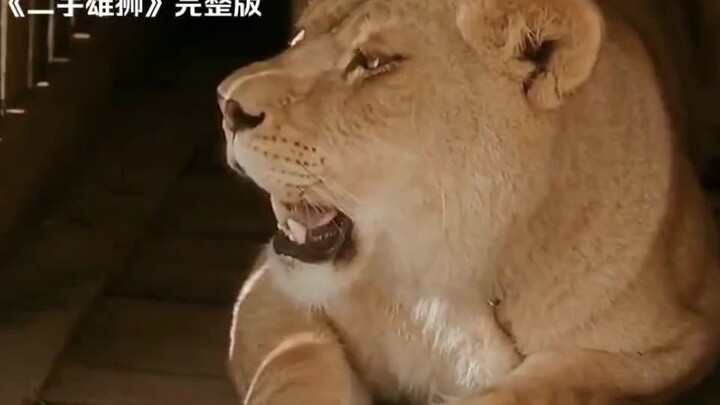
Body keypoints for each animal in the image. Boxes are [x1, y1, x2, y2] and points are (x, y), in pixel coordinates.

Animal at [216, 0, 720, 404]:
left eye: (374, 61)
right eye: (299, 36)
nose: (225, 104)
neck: (444, 275)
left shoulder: (675, 336)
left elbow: (552, 384)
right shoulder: (269, 293)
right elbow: (296, 367)